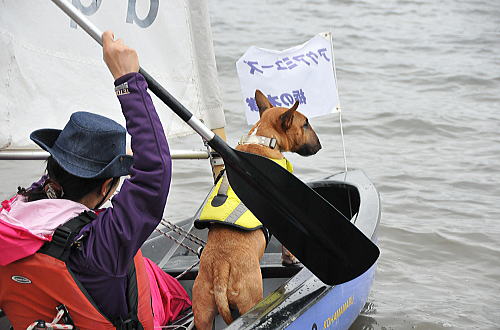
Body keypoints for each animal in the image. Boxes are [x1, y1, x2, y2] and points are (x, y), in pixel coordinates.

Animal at [191, 89, 320, 328]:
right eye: (305, 124)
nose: (320, 145)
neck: (264, 140)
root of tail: (220, 268)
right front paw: (290, 259)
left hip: (202, 312)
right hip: (250, 300)